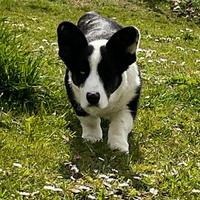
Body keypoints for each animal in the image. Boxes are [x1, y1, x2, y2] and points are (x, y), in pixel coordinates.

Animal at [56, 11, 141, 152]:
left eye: (108, 74)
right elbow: (89, 120)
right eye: (82, 72)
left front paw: (118, 146)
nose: (92, 96)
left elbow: (120, 124)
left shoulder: (130, 103)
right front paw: (92, 137)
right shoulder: (77, 100)